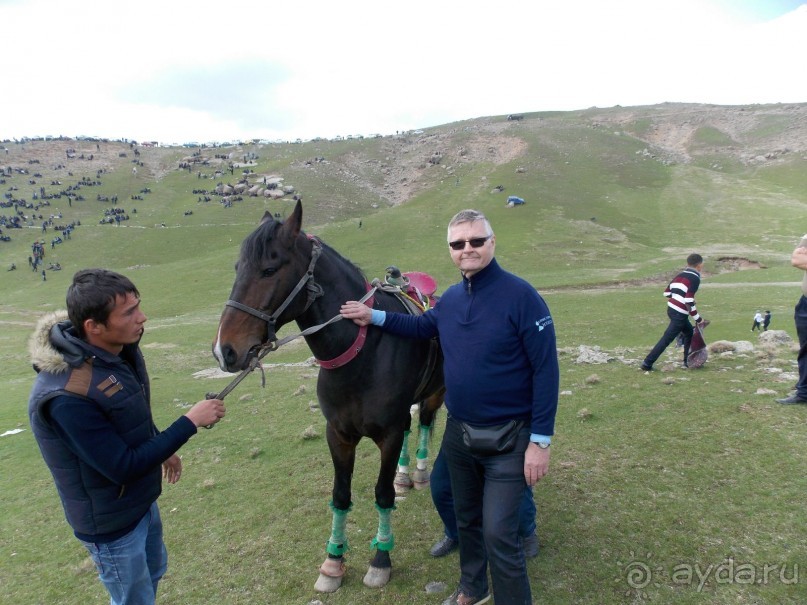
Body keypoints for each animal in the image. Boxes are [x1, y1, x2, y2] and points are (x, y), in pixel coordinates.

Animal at [211, 202, 446, 588]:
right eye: (236, 269)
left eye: (269, 269)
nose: (224, 350)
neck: (363, 351)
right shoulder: (338, 435)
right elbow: (340, 495)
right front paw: (333, 561)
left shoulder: (388, 434)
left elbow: (382, 495)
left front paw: (380, 559)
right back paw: (404, 475)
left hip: (436, 394)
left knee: (424, 423)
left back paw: (421, 472)